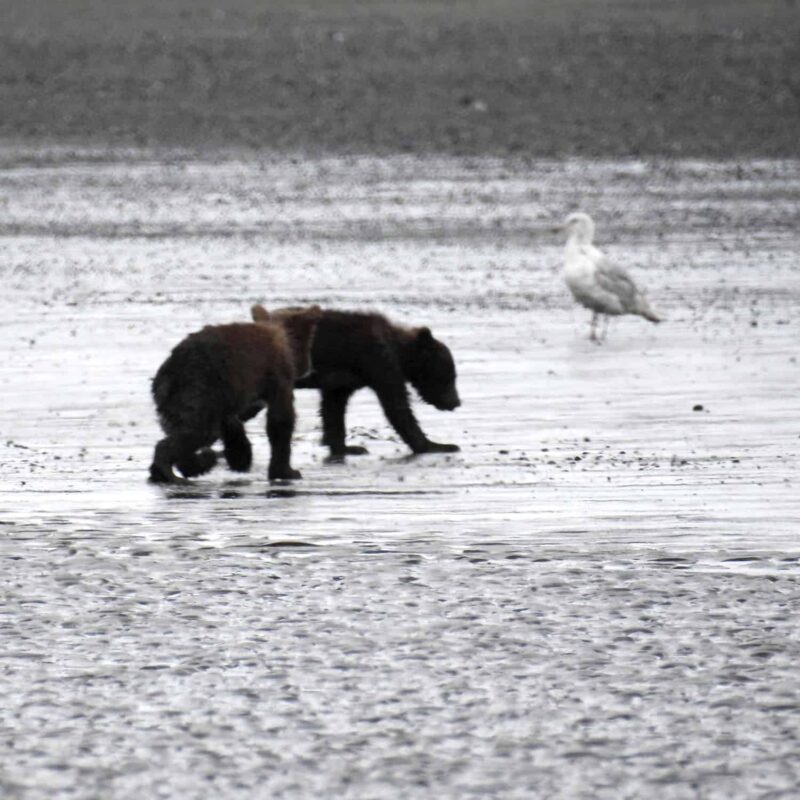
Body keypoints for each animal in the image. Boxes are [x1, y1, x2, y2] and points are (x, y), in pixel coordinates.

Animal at [149, 305, 321, 483]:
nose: (308, 367)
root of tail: (168, 373)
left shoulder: (230, 392)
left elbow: (231, 423)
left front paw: (240, 457)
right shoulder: (277, 374)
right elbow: (280, 420)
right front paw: (287, 471)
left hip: (177, 399)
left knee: (183, 429)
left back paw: (190, 466)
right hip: (198, 387)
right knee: (199, 431)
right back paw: (170, 471)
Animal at [251, 304, 460, 462]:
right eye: (450, 376)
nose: (456, 402)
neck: (399, 351)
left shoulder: (341, 381)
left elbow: (333, 409)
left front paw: (348, 448)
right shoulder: (378, 361)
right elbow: (397, 406)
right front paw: (439, 445)